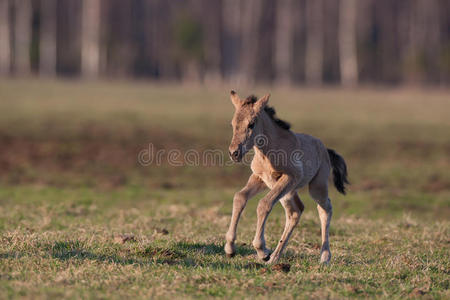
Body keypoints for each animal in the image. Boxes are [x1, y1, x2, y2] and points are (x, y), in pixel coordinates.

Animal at [224, 90, 348, 264]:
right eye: (232, 124)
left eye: (251, 124)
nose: (234, 153)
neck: (269, 152)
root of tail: (325, 149)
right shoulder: (260, 178)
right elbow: (239, 197)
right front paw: (230, 248)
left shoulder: (290, 177)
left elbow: (264, 204)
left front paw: (261, 249)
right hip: (288, 193)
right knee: (295, 212)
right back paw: (275, 256)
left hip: (316, 186)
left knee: (324, 209)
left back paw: (324, 257)